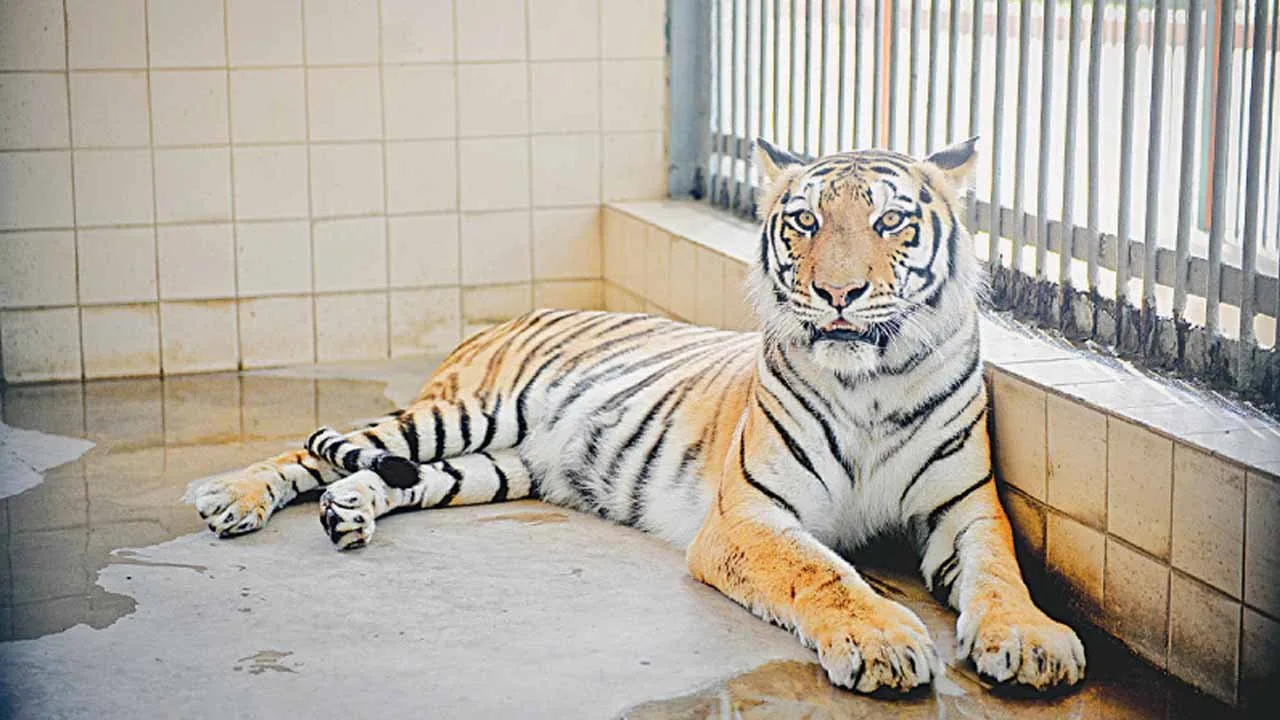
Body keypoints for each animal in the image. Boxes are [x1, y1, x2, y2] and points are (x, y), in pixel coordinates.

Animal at [192, 138, 1085, 695]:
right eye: (804, 221)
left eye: (890, 221)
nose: (838, 293)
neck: (870, 382)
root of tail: (504, 320)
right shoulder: (750, 517)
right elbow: (825, 573)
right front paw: (885, 643)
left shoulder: (965, 508)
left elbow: (1001, 572)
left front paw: (1032, 641)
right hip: (462, 414)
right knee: (314, 450)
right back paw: (230, 498)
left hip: (491, 468)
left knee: (388, 476)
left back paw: (348, 512)